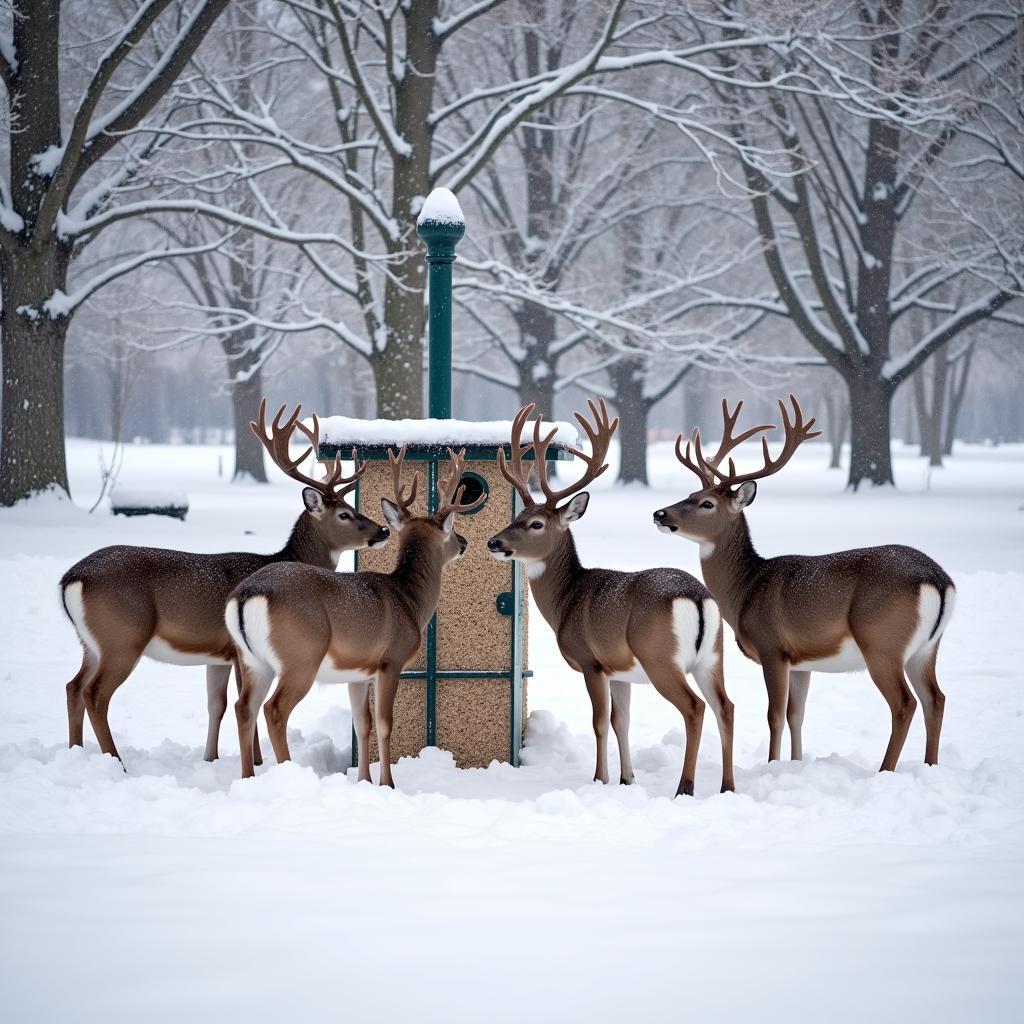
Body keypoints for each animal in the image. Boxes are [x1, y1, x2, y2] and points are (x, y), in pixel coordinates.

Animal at [59, 399, 389, 770]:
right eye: (344, 514)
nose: (382, 531)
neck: (285, 557)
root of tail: (70, 578)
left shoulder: (218, 656)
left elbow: (215, 705)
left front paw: (211, 758)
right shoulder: (236, 650)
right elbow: (247, 707)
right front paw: (256, 762)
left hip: (90, 642)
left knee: (73, 686)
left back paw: (75, 752)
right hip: (122, 637)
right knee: (95, 693)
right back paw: (116, 762)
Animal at [226, 442, 481, 782]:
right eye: (451, 532)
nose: (464, 542)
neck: (410, 600)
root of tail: (245, 595)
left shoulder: (358, 672)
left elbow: (363, 724)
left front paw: (364, 780)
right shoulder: (391, 660)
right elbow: (385, 724)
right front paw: (388, 783)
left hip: (252, 659)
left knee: (244, 707)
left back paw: (247, 778)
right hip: (300, 657)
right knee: (273, 710)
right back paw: (289, 772)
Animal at [487, 401, 737, 798]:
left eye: (536, 524)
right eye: (517, 516)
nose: (494, 542)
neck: (566, 600)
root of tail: (696, 597)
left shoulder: (592, 660)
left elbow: (600, 721)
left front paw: (599, 778)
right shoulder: (621, 669)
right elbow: (622, 721)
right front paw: (627, 778)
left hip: (659, 656)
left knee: (694, 708)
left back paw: (685, 787)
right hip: (712, 655)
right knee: (725, 706)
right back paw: (727, 786)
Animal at [651, 395, 954, 770]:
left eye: (707, 503)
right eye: (691, 492)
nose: (660, 514)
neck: (746, 590)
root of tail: (937, 580)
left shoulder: (772, 647)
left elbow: (774, 715)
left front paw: (772, 765)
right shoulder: (801, 662)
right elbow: (796, 715)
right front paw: (795, 763)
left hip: (882, 642)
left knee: (905, 703)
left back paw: (885, 769)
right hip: (927, 647)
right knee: (936, 699)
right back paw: (930, 765)